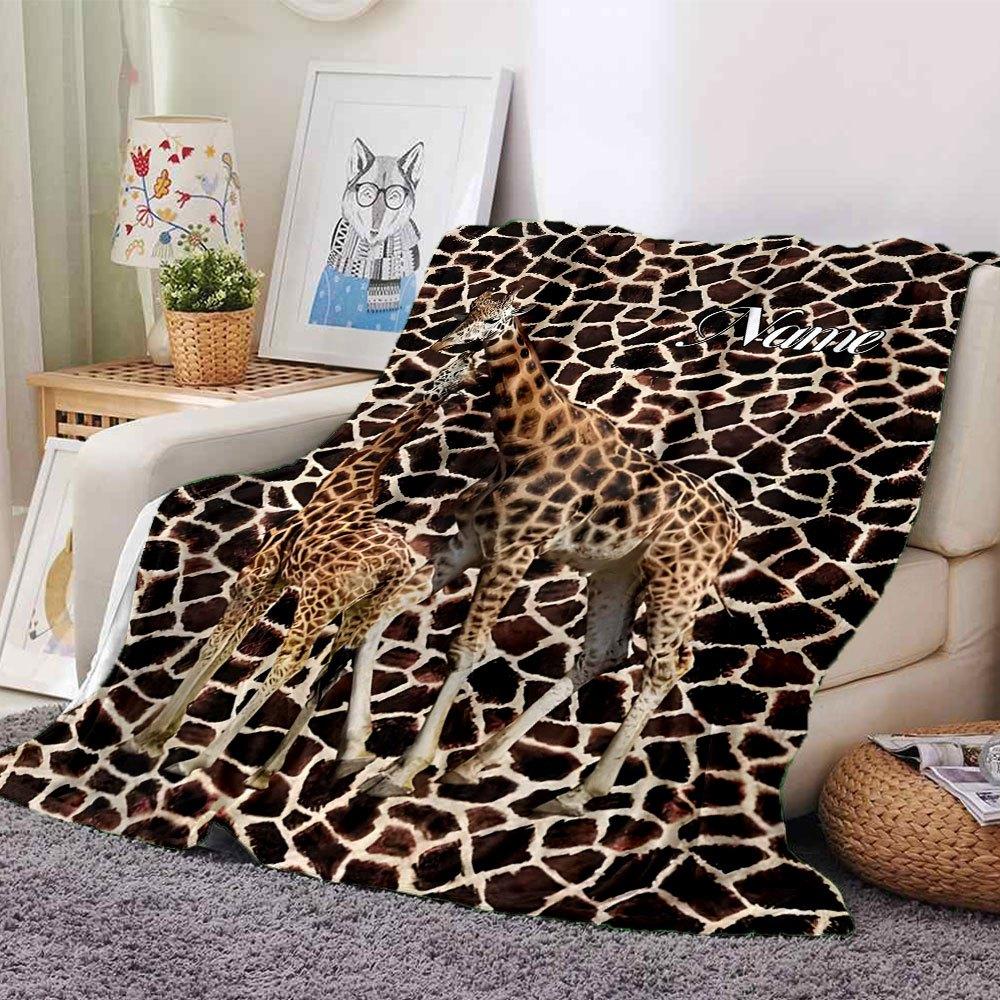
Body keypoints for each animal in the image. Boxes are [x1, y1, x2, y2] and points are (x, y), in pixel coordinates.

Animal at [126, 355, 476, 788]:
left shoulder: (261, 570)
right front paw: (158, 733)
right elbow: (227, 644)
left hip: (317, 603)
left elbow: (216, 643)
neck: (354, 478)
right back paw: (274, 769)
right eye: (458, 366)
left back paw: (198, 762)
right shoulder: (275, 579)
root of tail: (399, 563)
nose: (470, 376)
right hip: (358, 611)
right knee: (328, 672)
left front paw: (150, 737)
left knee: (290, 662)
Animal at [365, 292, 742, 816]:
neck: (523, 441)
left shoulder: (514, 551)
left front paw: (401, 772)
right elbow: (383, 609)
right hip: (619, 572)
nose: (444, 348)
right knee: (605, 652)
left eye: (494, 320)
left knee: (663, 667)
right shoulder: (470, 542)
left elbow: (465, 648)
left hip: (675, 582)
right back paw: (475, 765)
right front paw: (352, 752)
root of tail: (734, 531)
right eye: (468, 311)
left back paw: (580, 793)